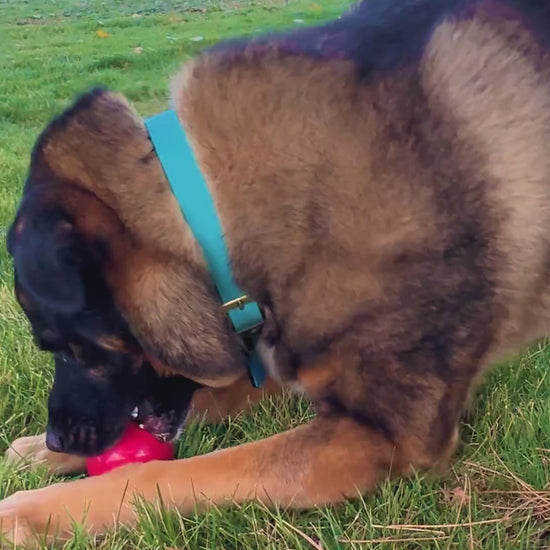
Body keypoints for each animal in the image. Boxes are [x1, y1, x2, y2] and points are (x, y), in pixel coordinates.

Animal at [2, 0, 550, 545]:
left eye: (70, 348)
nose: (55, 436)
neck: (211, 213)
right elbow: (215, 396)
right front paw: (36, 453)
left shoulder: (382, 438)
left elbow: (175, 471)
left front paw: (31, 511)